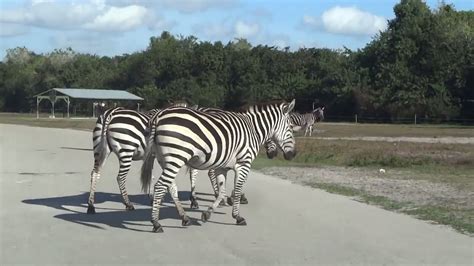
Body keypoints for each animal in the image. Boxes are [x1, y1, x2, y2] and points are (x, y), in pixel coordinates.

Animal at [141, 100, 296, 233]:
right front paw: (238, 217)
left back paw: (185, 218)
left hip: (165, 160)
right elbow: (237, 190)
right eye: (290, 128)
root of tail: (159, 115)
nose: (293, 154)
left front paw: (207, 214)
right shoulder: (244, 163)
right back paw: (156, 223)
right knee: (160, 186)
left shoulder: (223, 167)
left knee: (171, 187)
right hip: (176, 158)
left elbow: (221, 191)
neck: (253, 129)